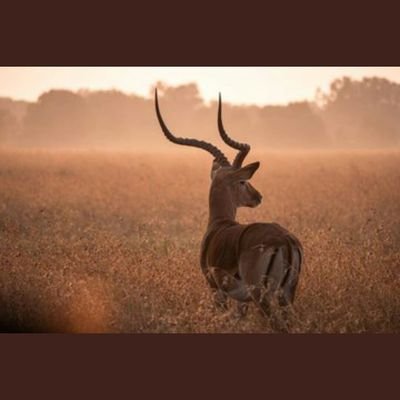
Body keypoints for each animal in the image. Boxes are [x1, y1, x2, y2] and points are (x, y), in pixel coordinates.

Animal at [155, 90, 302, 318]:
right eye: (242, 181)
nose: (258, 196)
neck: (220, 224)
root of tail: (285, 240)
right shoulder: (241, 301)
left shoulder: (215, 289)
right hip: (286, 295)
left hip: (262, 296)